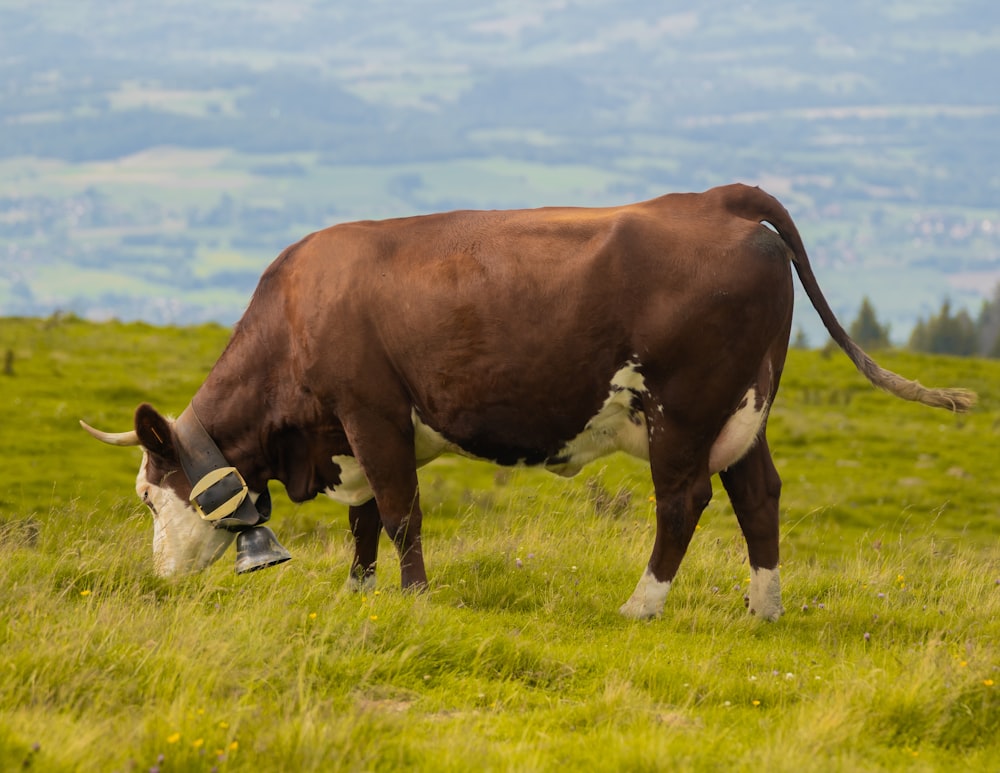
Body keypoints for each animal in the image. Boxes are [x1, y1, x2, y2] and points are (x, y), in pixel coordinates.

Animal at [82, 182, 972, 620]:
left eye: (153, 495)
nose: (161, 577)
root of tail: (715, 198)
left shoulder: (373, 412)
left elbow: (399, 511)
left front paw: (413, 599)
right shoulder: (345, 430)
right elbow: (363, 518)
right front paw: (358, 591)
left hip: (682, 412)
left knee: (682, 501)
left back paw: (642, 604)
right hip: (740, 413)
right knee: (759, 495)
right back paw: (765, 607)